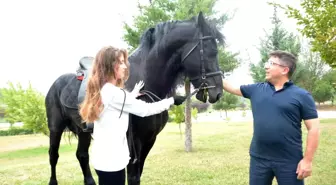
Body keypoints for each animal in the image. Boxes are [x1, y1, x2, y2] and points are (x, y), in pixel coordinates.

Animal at [44, 11, 223, 185]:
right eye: (212, 52)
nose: (218, 93)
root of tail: (55, 85)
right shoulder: (133, 142)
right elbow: (131, 177)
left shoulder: (149, 140)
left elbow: (138, 176)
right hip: (55, 128)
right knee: (53, 155)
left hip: (83, 131)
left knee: (82, 155)